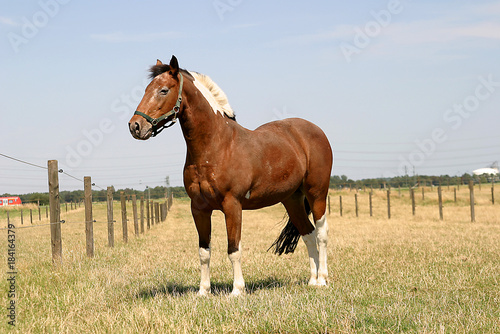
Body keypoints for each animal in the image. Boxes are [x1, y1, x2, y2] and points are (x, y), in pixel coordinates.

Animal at [129, 56, 332, 296]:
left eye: (163, 90)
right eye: (146, 89)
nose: (135, 126)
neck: (216, 146)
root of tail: (315, 131)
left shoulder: (232, 205)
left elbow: (234, 249)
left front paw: (237, 290)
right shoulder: (199, 208)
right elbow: (204, 252)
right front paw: (203, 291)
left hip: (316, 193)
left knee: (321, 234)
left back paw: (323, 279)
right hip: (292, 199)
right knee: (308, 234)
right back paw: (312, 280)